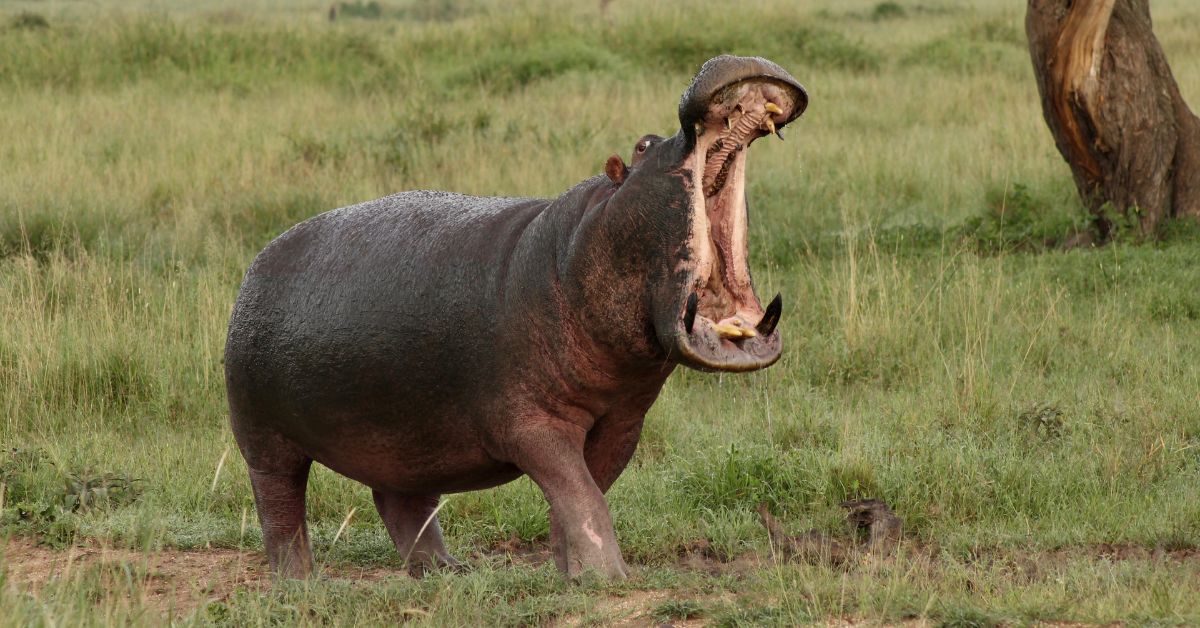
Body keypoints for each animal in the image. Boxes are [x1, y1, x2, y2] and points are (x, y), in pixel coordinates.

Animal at [224, 55, 807, 580]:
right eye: (643, 145)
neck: (572, 254)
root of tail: (255, 266)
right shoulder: (530, 423)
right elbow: (580, 494)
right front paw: (611, 578)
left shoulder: (623, 421)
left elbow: (579, 494)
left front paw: (574, 575)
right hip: (264, 439)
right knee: (281, 508)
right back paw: (298, 584)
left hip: (403, 437)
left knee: (403, 503)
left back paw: (447, 573)